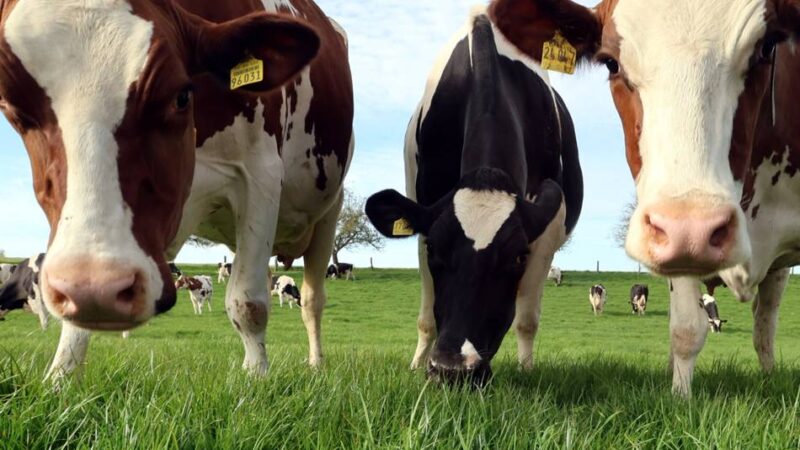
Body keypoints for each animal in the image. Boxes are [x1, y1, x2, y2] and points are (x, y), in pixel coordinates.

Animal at [0, 0, 353, 382]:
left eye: (181, 96)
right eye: (13, 109)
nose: (100, 288)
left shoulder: (261, 175)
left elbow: (248, 303)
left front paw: (257, 380)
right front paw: (61, 379)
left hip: (329, 212)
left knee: (312, 300)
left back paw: (316, 362)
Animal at [365, 5, 582, 385]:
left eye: (517, 257)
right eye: (435, 249)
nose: (453, 369)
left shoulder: (546, 228)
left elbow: (527, 320)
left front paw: (527, 371)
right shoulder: (425, 214)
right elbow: (427, 316)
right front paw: (418, 365)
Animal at [492, 0, 800, 396]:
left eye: (767, 47)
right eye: (611, 62)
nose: (692, 229)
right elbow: (686, 331)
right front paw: (680, 398)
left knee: (765, 323)